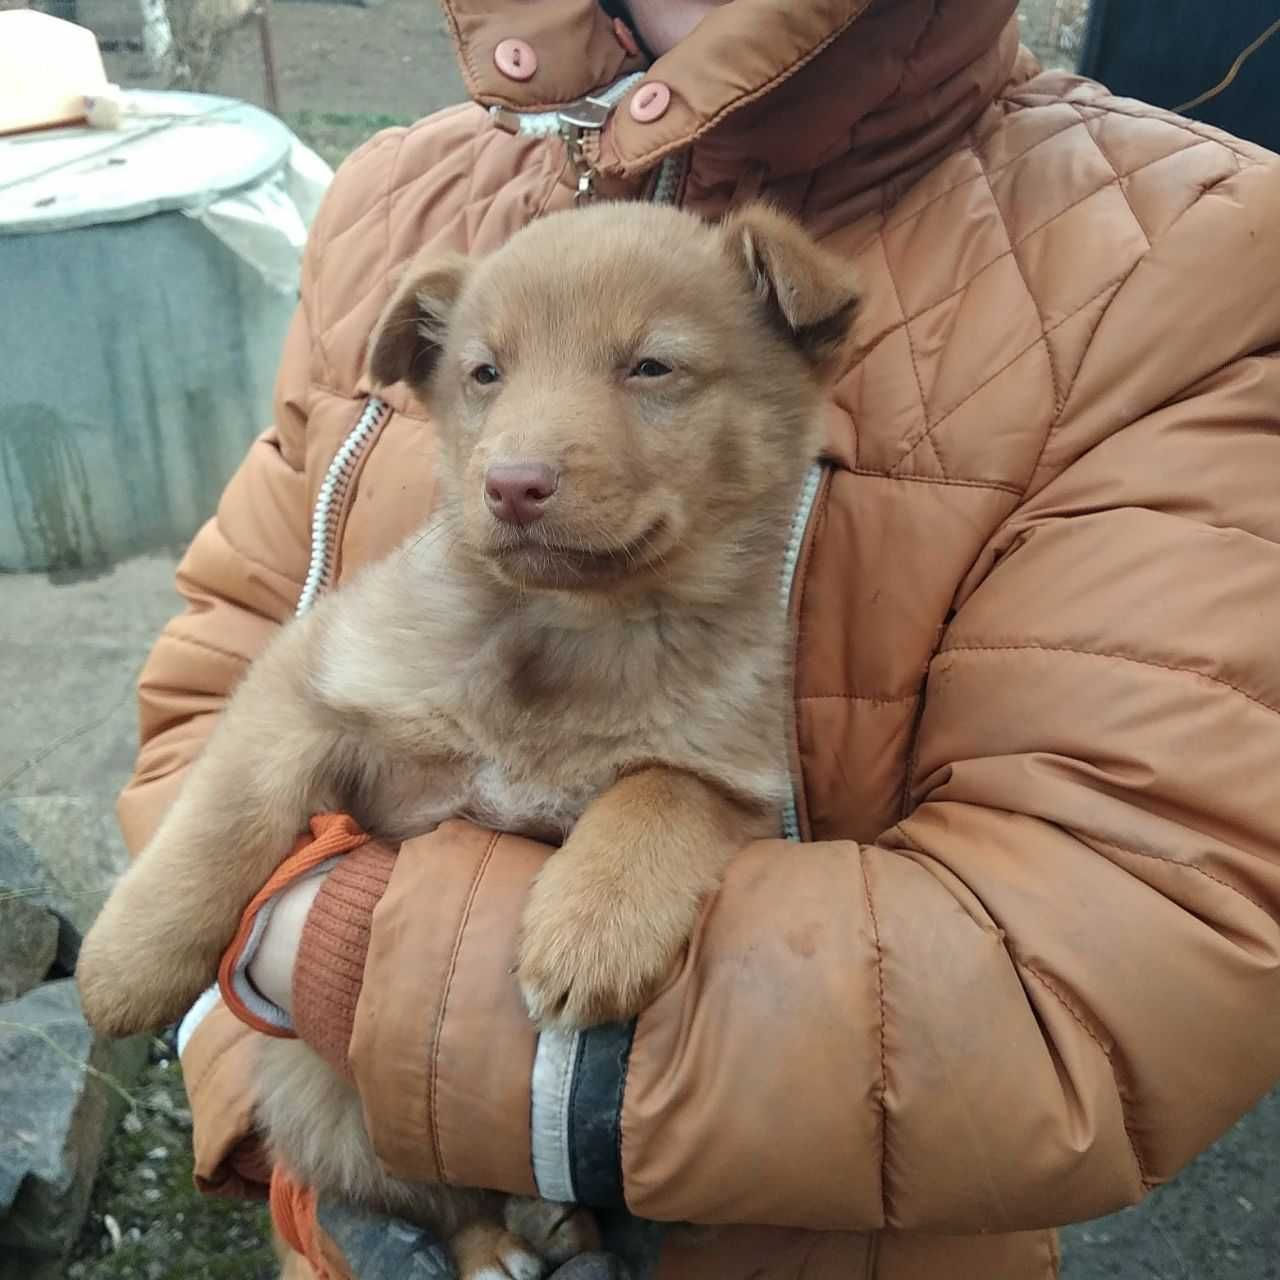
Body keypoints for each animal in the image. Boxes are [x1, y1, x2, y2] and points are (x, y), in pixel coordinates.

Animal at [77, 204, 860, 1274]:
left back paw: (548, 1221)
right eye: (486, 373)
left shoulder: (740, 772)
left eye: (652, 367)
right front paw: (125, 967)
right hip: (327, 1100)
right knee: (428, 1187)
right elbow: (222, 822)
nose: (514, 485)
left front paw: (590, 927)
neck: (569, 634)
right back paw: (498, 1243)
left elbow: (657, 792)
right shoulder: (310, 679)